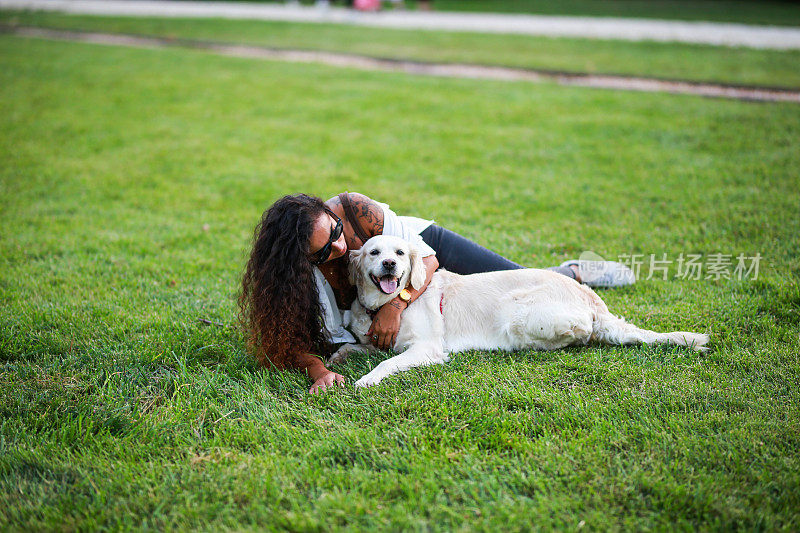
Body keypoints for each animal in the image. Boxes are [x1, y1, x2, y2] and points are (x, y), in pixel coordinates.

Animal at [330, 236, 708, 386]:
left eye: (398, 252)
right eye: (374, 252)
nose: (390, 265)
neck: (383, 306)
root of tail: (592, 301)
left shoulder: (427, 347)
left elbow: (387, 362)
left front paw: (367, 379)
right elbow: (354, 346)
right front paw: (338, 357)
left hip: (517, 312)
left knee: (580, 334)